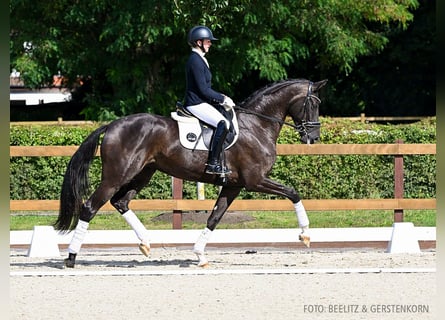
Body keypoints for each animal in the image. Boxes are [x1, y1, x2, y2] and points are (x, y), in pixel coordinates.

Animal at [54, 78, 326, 268]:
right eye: (313, 104)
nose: (313, 138)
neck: (257, 126)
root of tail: (112, 125)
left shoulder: (234, 185)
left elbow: (214, 218)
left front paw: (200, 255)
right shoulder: (255, 180)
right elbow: (293, 192)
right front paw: (305, 234)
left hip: (143, 173)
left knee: (120, 202)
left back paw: (145, 243)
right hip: (116, 175)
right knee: (90, 207)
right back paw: (71, 258)